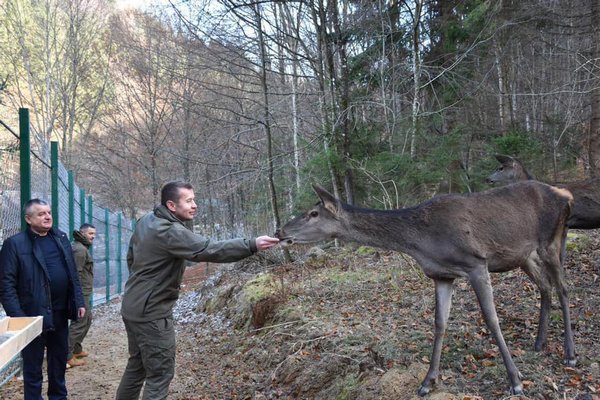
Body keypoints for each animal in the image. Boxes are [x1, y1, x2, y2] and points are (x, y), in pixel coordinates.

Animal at [276, 181, 576, 396]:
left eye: (313, 213)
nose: (280, 231)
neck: (421, 242)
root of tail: (566, 195)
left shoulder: (476, 263)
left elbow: (492, 320)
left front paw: (515, 380)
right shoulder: (441, 275)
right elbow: (440, 323)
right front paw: (427, 381)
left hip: (551, 241)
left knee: (563, 288)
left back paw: (570, 354)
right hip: (524, 255)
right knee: (545, 286)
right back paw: (539, 343)